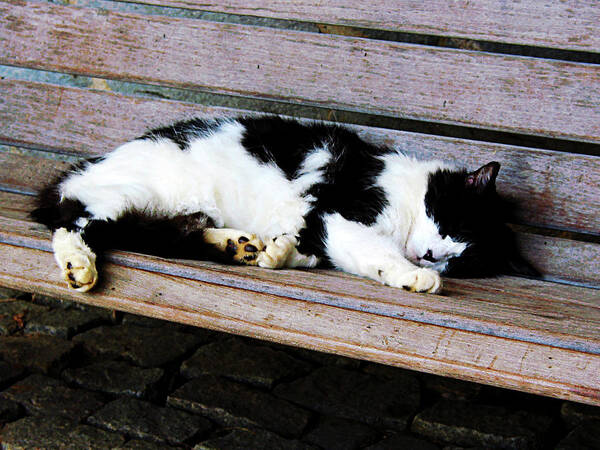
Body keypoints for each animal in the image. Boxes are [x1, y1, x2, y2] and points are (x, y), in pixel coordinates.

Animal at [30, 114, 536, 294]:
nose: (433, 257)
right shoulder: (342, 212)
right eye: (453, 225)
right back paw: (78, 266)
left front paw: (277, 252)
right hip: (129, 195)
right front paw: (415, 276)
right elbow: (377, 253)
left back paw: (237, 245)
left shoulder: (321, 226)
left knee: (176, 231)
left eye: (461, 261)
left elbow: (313, 251)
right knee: (73, 221)